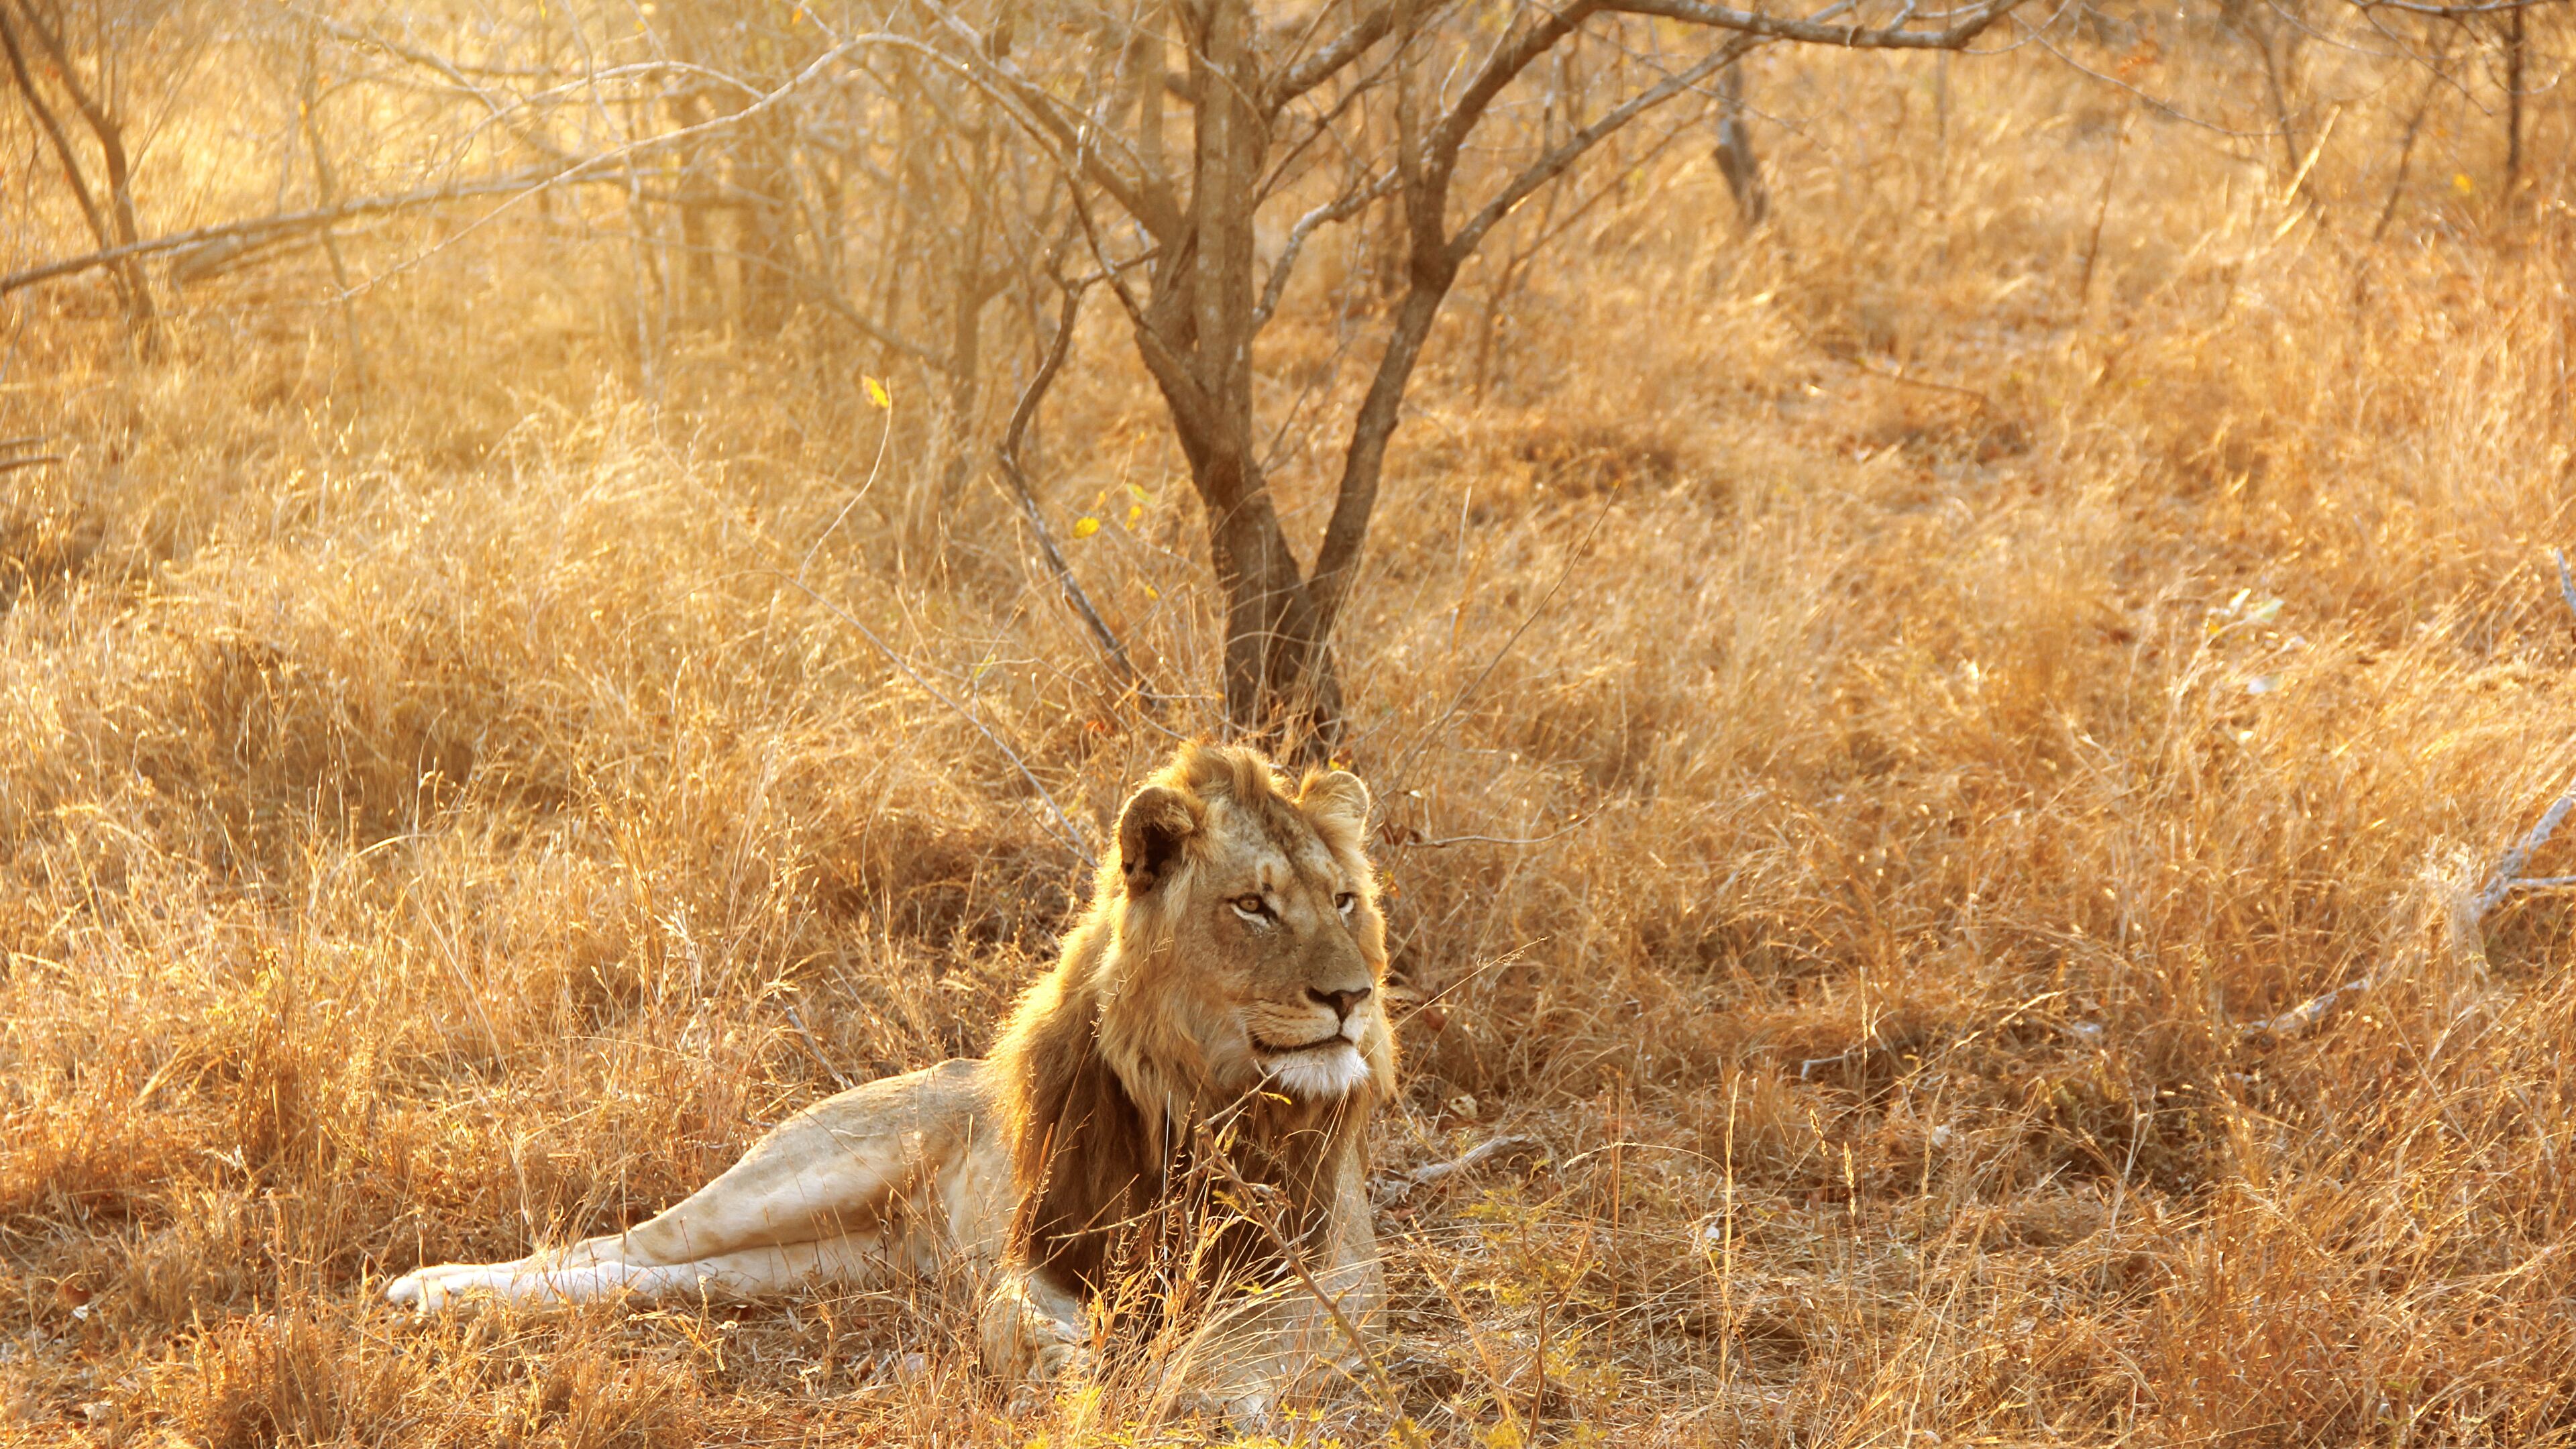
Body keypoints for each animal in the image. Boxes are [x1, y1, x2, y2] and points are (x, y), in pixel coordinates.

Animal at [387, 742, 1395, 1410]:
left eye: (1346, 900)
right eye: (1253, 906)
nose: (1352, 996)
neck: (1204, 1096)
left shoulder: (1339, 1272)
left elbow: (1249, 1343)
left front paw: (1191, 1389)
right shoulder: (1042, 1252)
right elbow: (1014, 1320)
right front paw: (1067, 1373)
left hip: (824, 1261)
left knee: (657, 1277)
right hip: (798, 1177)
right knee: (617, 1245)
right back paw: (432, 1289)